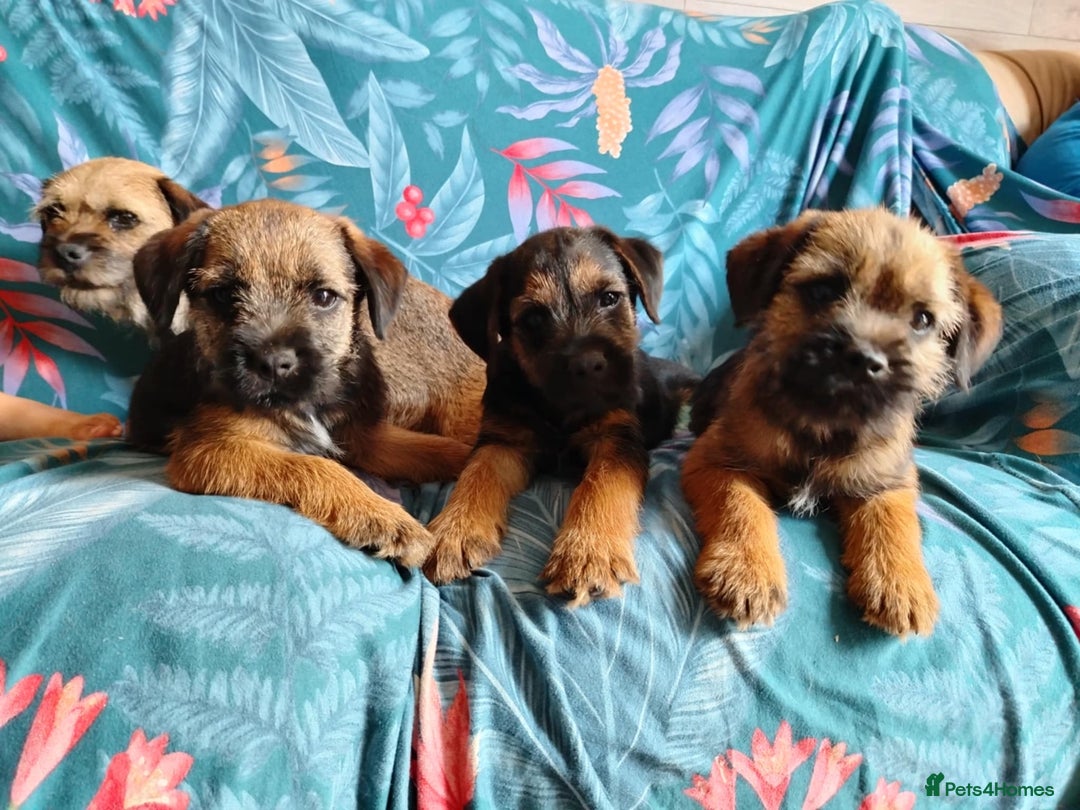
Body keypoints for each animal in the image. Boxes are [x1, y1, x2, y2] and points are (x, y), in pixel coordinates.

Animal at [126, 199, 481, 565]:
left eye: (323, 296)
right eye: (223, 295)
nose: (272, 363)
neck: (304, 406)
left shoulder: (359, 436)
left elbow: (425, 447)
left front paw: (471, 462)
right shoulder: (210, 449)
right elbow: (313, 467)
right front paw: (385, 518)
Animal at [423, 227, 699, 605]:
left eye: (610, 298)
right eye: (533, 318)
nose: (588, 363)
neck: (560, 410)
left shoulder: (617, 440)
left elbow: (602, 487)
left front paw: (589, 553)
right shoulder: (502, 441)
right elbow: (475, 476)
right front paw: (454, 530)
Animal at [681, 208, 1002, 636]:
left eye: (922, 319)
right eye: (822, 291)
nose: (864, 359)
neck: (824, 424)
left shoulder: (889, 479)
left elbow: (892, 520)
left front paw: (901, 585)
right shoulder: (718, 458)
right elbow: (740, 506)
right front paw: (746, 573)